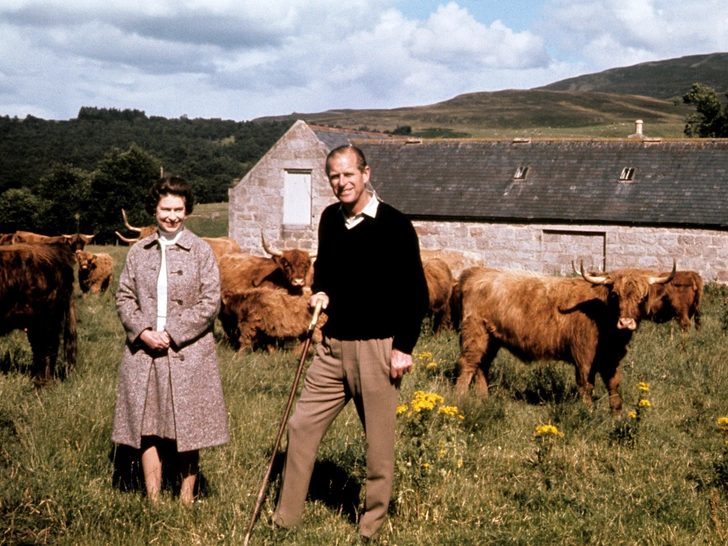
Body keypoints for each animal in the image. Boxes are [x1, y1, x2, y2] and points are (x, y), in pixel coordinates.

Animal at [458, 262, 672, 410]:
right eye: (615, 296)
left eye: (642, 297)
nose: (626, 322)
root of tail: (477, 272)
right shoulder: (584, 356)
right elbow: (586, 385)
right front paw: (589, 413)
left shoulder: (612, 358)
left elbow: (614, 386)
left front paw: (617, 416)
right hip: (475, 333)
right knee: (468, 364)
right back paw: (459, 399)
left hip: (491, 339)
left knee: (481, 366)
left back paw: (483, 399)